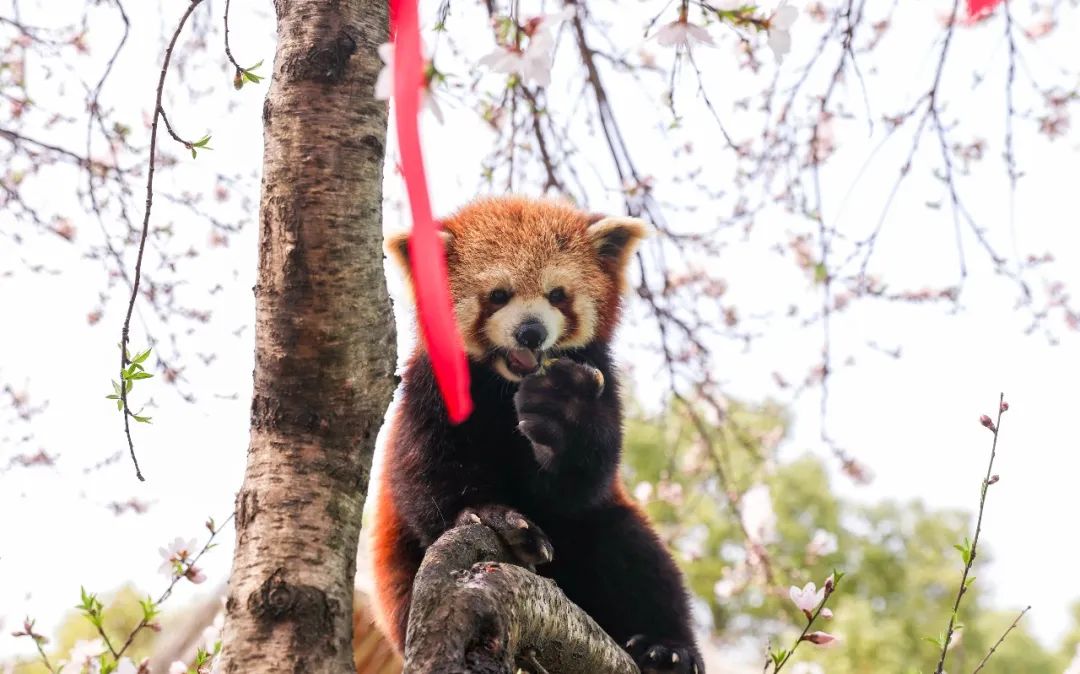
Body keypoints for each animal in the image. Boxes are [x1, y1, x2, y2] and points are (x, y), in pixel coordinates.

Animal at [375, 194, 704, 674]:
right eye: (498, 295)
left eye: (557, 295)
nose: (531, 331)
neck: (502, 385)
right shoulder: (429, 390)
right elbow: (427, 473)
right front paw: (493, 516)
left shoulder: (599, 378)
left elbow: (574, 487)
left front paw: (562, 412)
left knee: (634, 550)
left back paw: (667, 648)